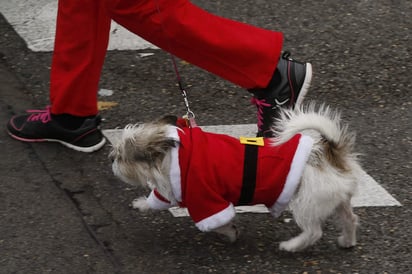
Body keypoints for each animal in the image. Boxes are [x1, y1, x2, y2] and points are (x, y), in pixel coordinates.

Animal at [111, 104, 362, 253]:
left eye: (123, 156)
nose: (112, 157)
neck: (177, 153)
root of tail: (331, 155)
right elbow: (157, 199)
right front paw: (142, 204)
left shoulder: (206, 201)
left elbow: (218, 224)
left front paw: (230, 233)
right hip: (336, 200)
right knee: (350, 219)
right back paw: (347, 241)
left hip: (306, 203)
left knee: (314, 232)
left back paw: (290, 246)